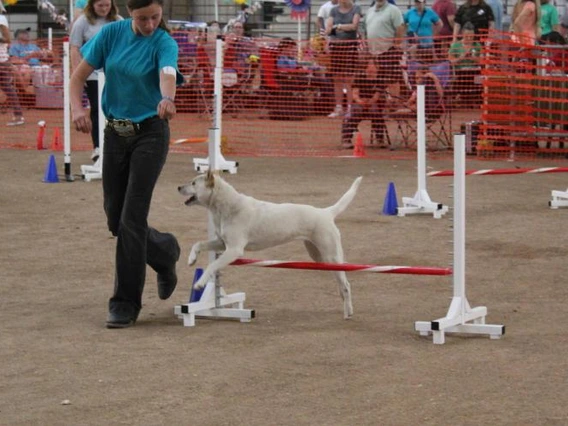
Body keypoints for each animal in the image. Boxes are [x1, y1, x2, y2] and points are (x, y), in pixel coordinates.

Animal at [178, 171, 364, 318]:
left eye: (193, 183)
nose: (179, 187)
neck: (225, 206)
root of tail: (326, 212)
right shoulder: (222, 244)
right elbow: (198, 244)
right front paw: (191, 259)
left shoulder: (234, 250)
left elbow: (212, 265)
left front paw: (200, 283)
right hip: (319, 256)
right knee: (341, 280)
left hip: (330, 254)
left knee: (346, 284)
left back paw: (348, 312)